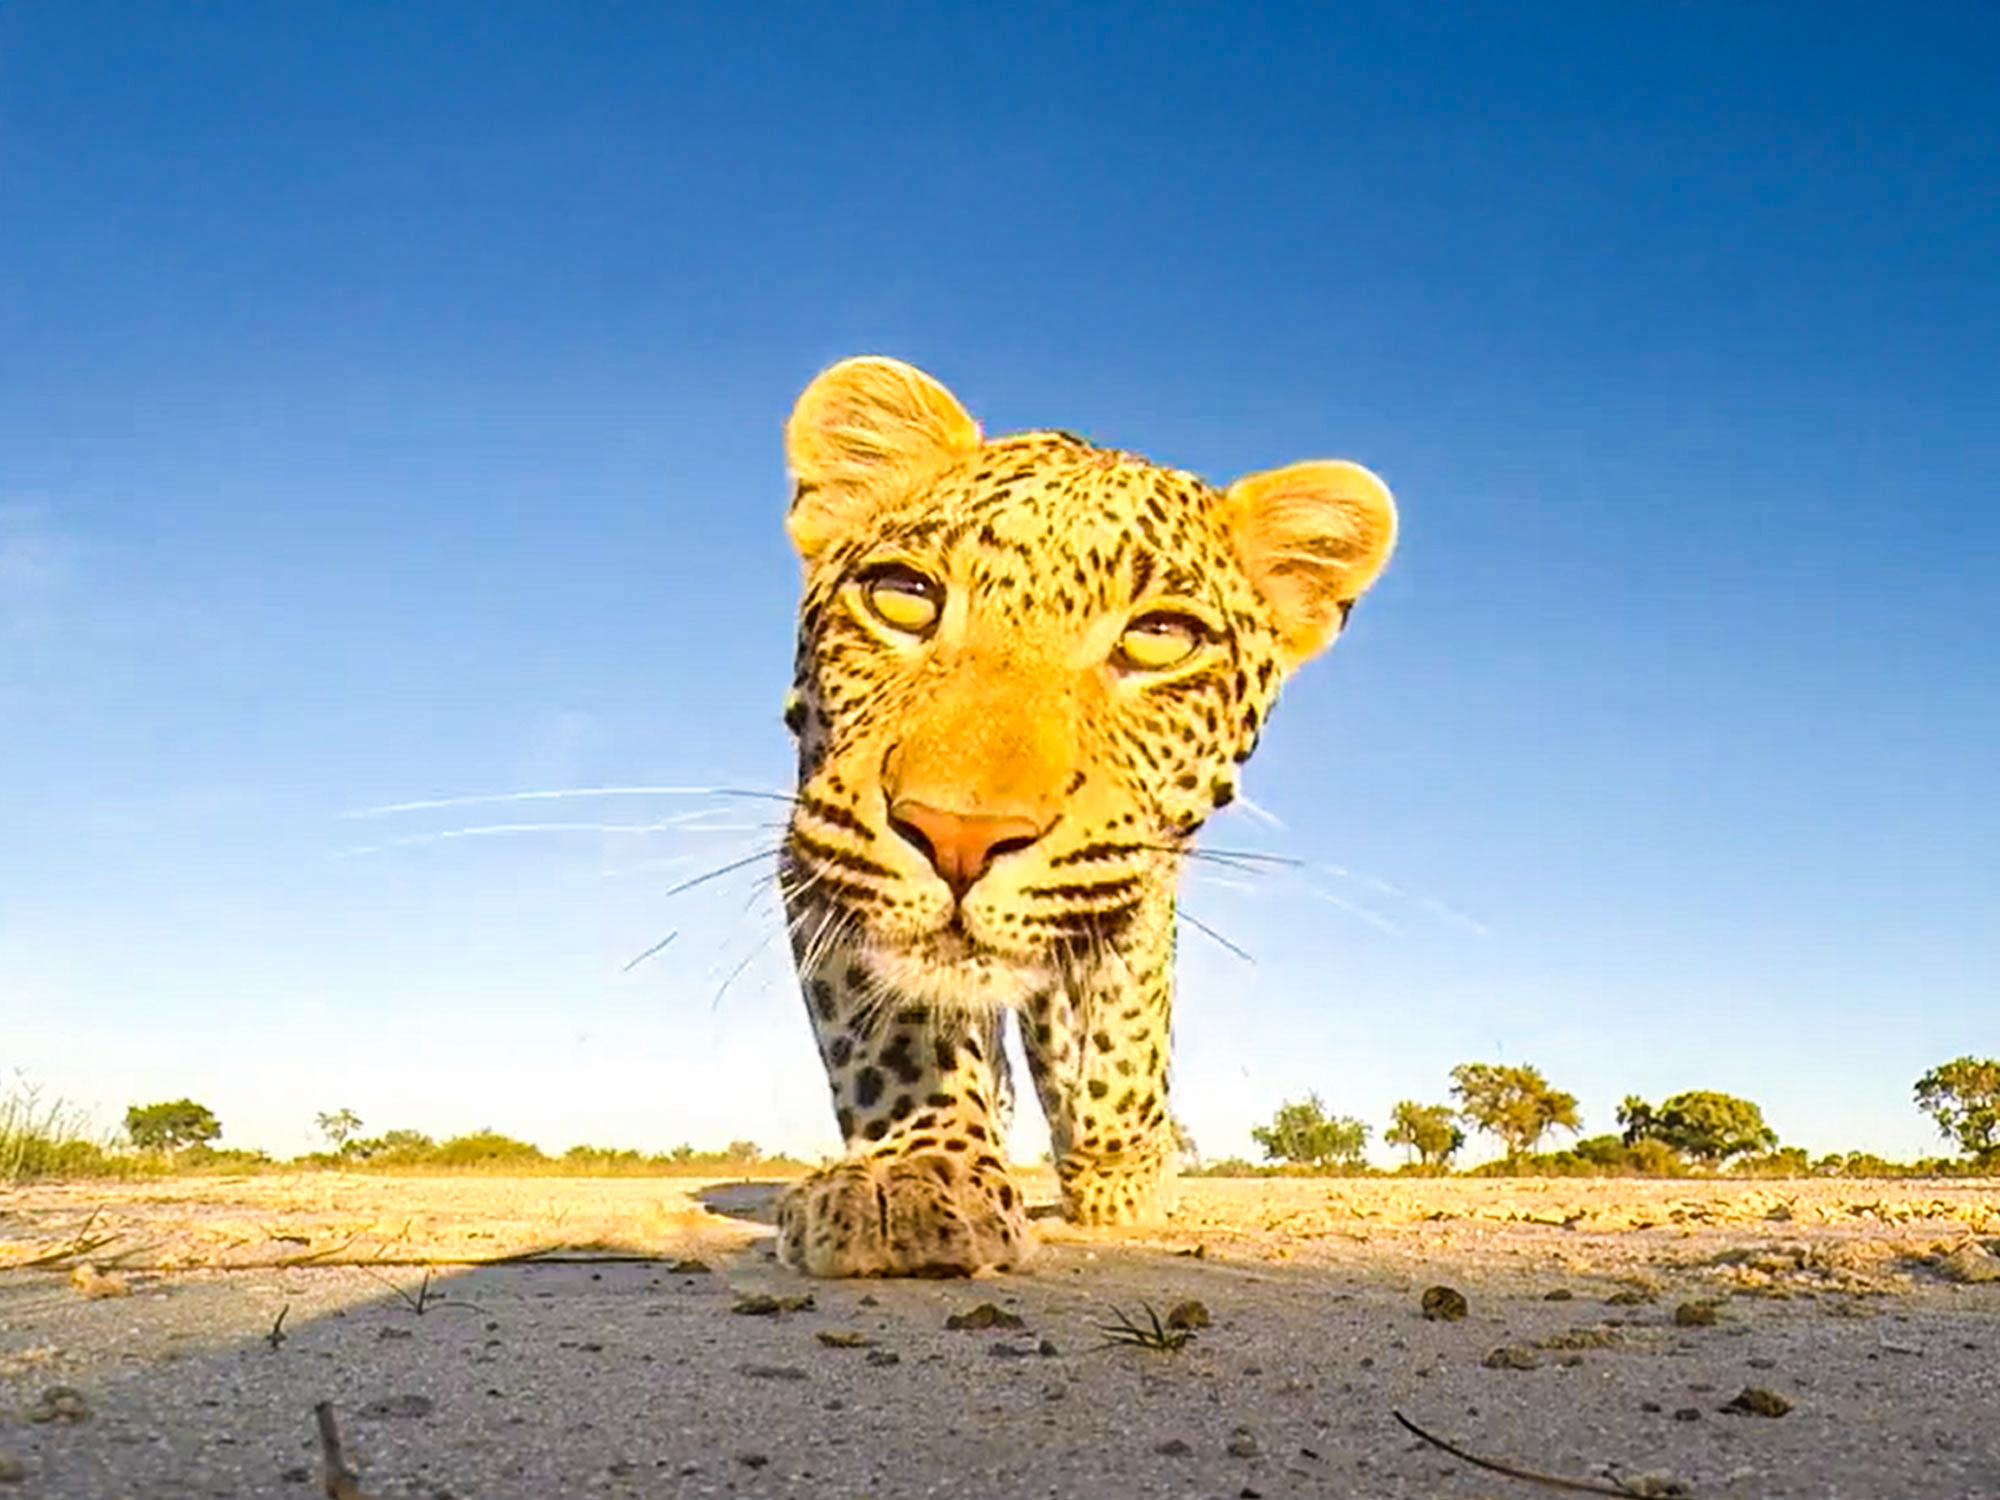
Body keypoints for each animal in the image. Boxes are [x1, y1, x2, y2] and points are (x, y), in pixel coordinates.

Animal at [772, 357, 1397, 1277]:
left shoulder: (1139, 881)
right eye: (902, 598)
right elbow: (898, 1034)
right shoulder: (822, 844)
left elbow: (1122, 1034)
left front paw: (1123, 1173)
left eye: (1159, 639)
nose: (958, 835)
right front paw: (916, 1176)